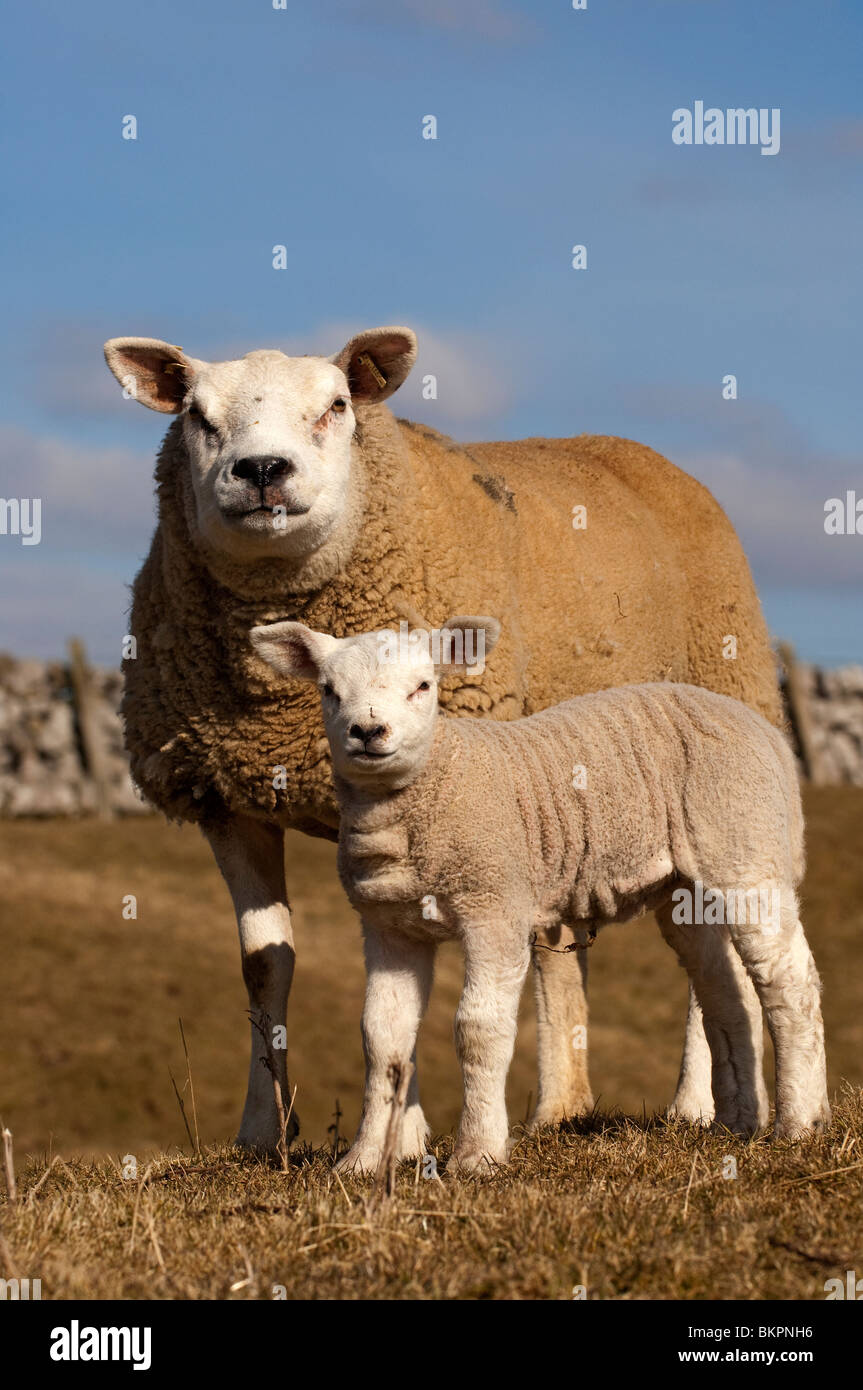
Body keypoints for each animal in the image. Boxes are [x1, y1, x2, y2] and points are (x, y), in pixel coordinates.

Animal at [248, 614, 828, 1167]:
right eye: (328, 690)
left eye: (423, 686)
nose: (368, 730)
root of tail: (767, 734)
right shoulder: (389, 926)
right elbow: (382, 1038)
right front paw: (364, 1160)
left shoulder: (495, 902)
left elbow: (479, 1029)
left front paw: (477, 1153)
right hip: (686, 888)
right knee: (725, 990)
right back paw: (738, 1123)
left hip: (743, 844)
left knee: (788, 979)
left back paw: (798, 1125)